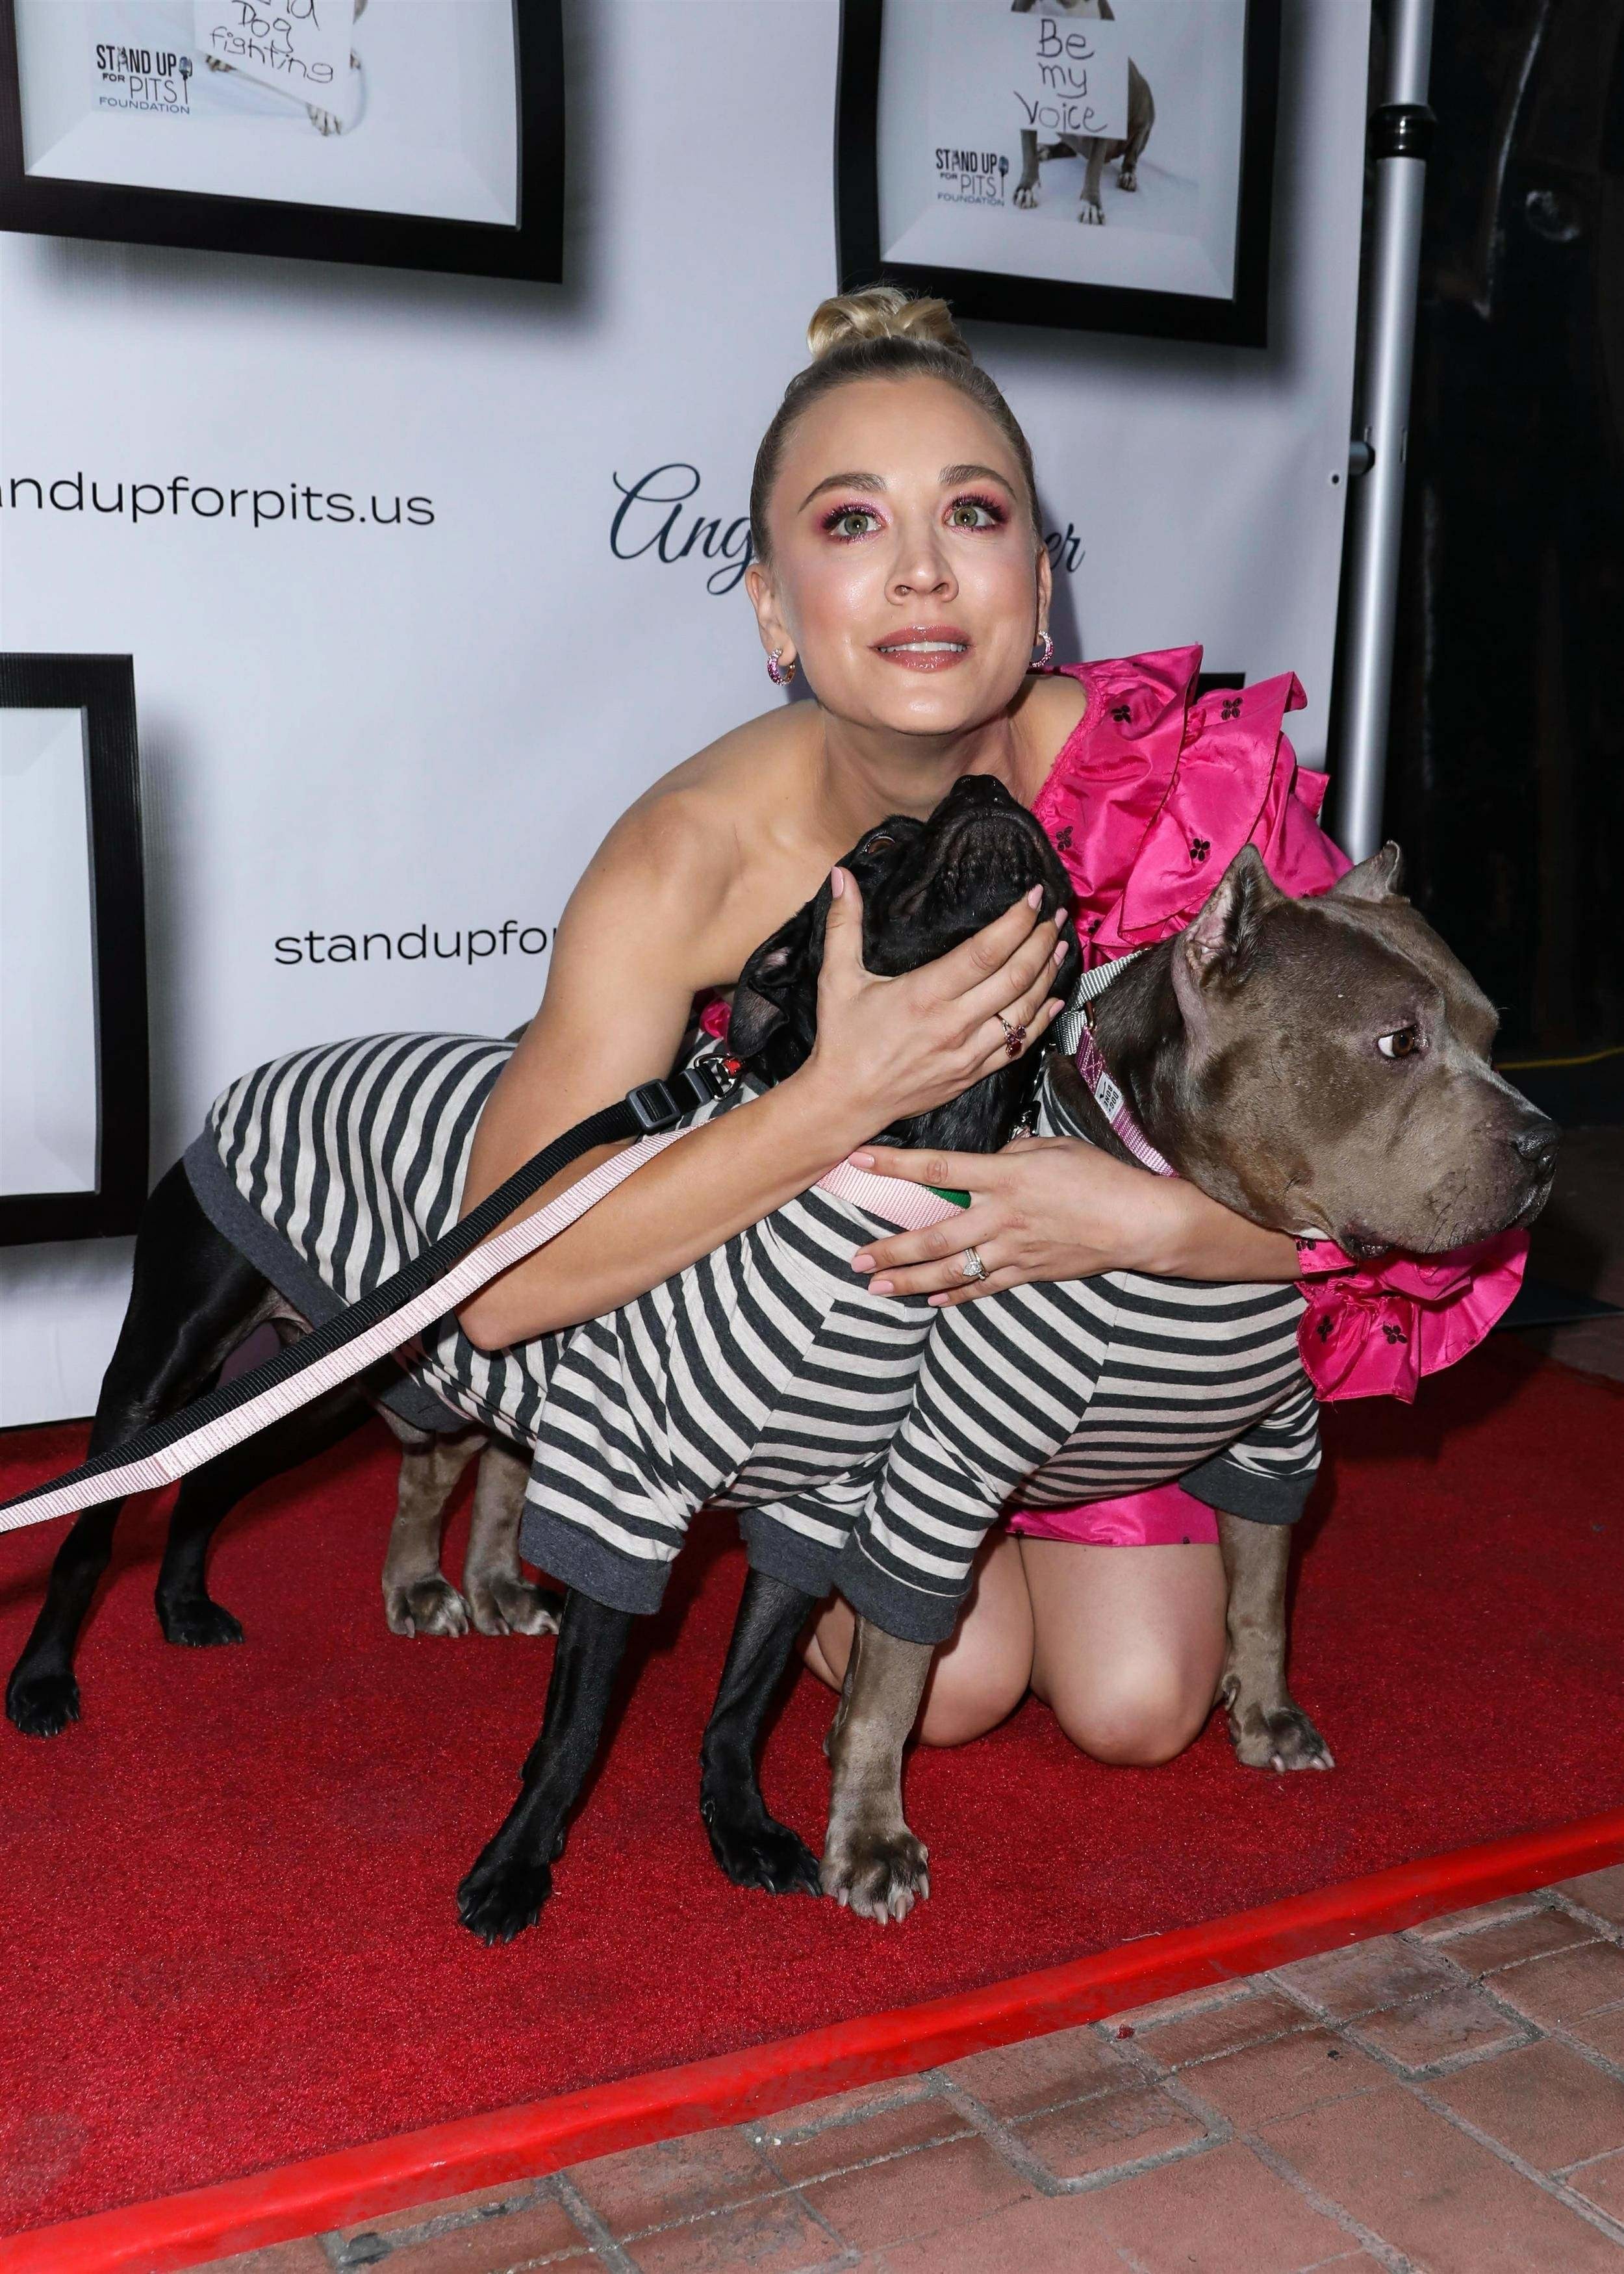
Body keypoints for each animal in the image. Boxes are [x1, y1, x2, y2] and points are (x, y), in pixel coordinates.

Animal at [817, 840, 1559, 1921]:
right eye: (1398, 1043)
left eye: (1494, 1035)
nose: (1546, 1146)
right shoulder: (948, 1466)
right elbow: (896, 1673)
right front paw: (871, 1835)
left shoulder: (1277, 1444)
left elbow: (1262, 1592)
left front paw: (1267, 1714)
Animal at [1010, 0, 1155, 226]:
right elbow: (1028, 150)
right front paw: (1027, 188)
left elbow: (1094, 168)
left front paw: (1091, 205)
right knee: (1068, 147)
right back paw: (1044, 150)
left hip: (1145, 105)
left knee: (1131, 154)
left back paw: (1128, 176)